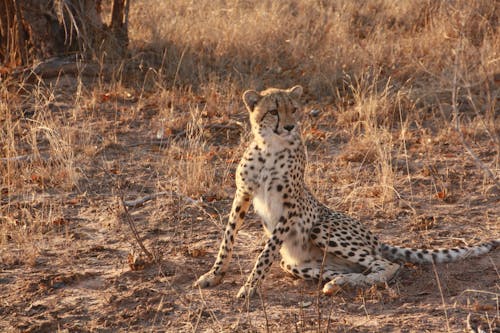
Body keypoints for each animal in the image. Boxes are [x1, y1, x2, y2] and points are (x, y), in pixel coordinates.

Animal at [194, 84, 500, 296]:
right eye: (273, 111)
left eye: (294, 109)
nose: (290, 126)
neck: (271, 147)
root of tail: (376, 238)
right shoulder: (243, 194)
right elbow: (227, 238)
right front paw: (214, 275)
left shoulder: (290, 206)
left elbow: (265, 253)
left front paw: (250, 286)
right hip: (294, 262)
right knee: (350, 268)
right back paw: (338, 281)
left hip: (321, 229)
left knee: (388, 265)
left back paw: (346, 282)